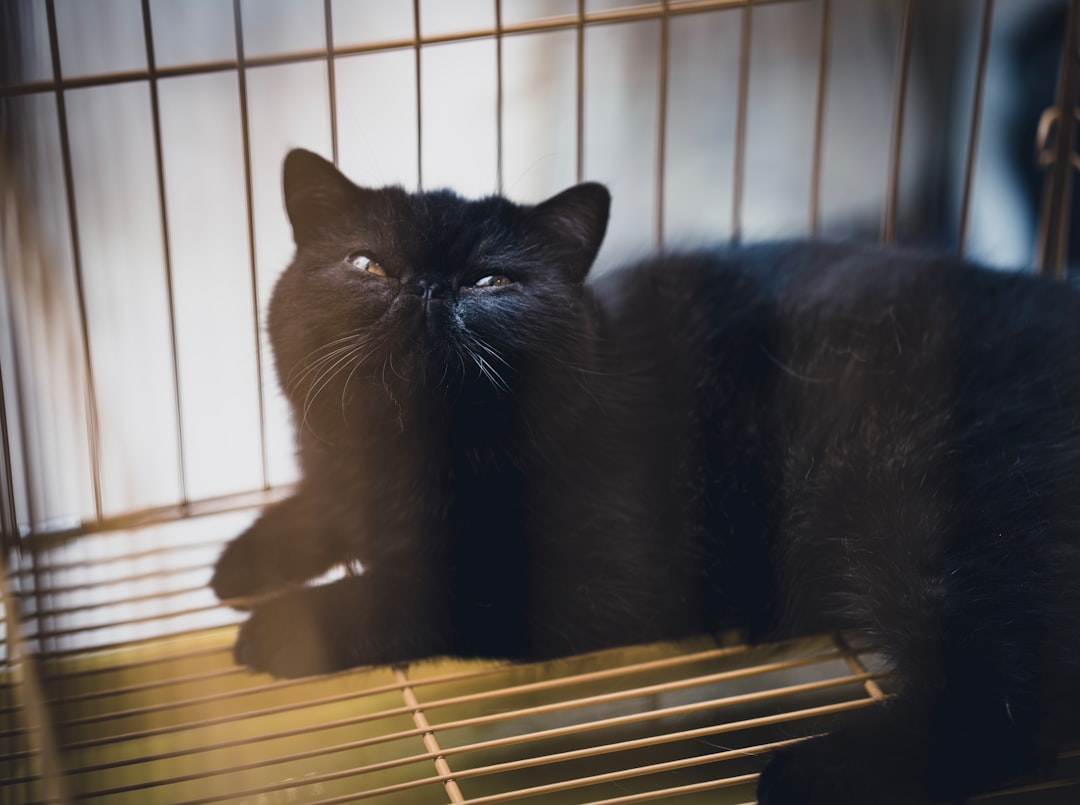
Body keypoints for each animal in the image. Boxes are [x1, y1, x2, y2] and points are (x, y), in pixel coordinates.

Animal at [212, 148, 1080, 799]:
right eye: (368, 264)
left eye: (493, 280)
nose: (429, 287)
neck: (405, 462)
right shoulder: (340, 472)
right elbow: (318, 503)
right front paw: (243, 560)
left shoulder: (578, 573)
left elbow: (411, 586)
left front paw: (280, 624)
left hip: (921, 504)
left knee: (1003, 695)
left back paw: (809, 770)